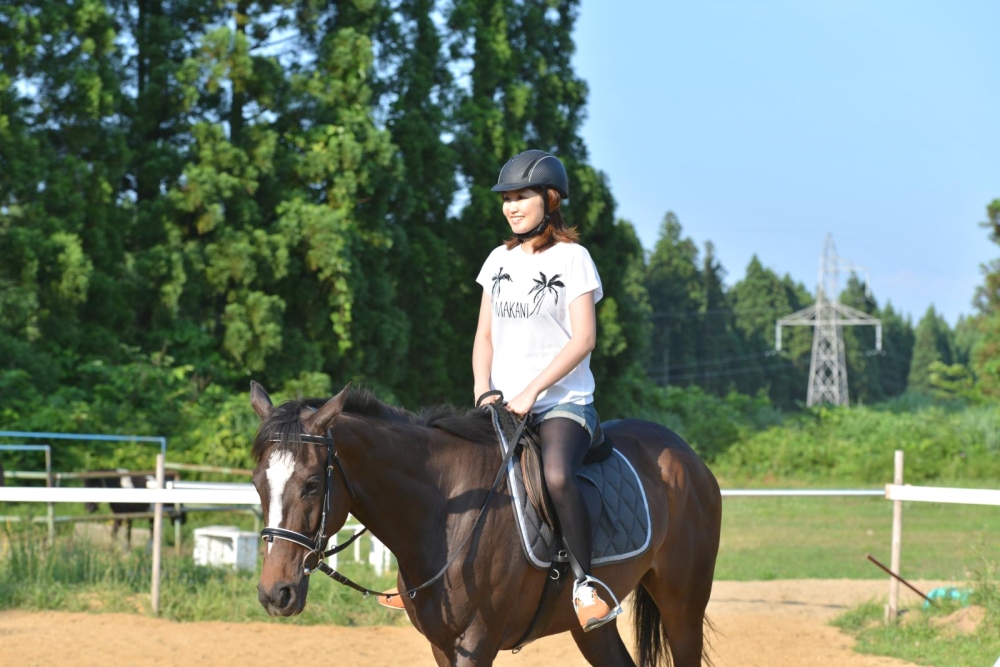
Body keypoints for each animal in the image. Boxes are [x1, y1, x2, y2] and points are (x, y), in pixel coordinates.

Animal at [249, 381, 721, 667]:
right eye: (256, 482)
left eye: (312, 484)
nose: (276, 593)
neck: (443, 517)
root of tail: (687, 457)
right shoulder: (442, 645)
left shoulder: (477, 644)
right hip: (590, 627)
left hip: (682, 604)